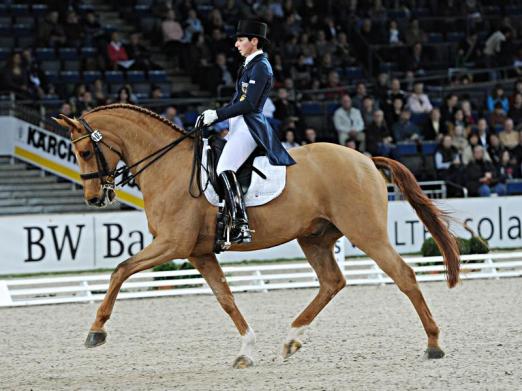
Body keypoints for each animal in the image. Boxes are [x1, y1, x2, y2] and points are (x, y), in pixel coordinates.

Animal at [53, 103, 460, 368]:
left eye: (86, 151)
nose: (94, 198)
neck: (168, 166)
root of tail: (365, 159)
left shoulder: (172, 244)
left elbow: (120, 270)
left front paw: (96, 331)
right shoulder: (199, 252)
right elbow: (226, 299)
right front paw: (246, 350)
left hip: (365, 232)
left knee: (403, 275)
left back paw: (434, 344)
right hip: (314, 237)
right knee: (332, 281)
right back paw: (291, 339)